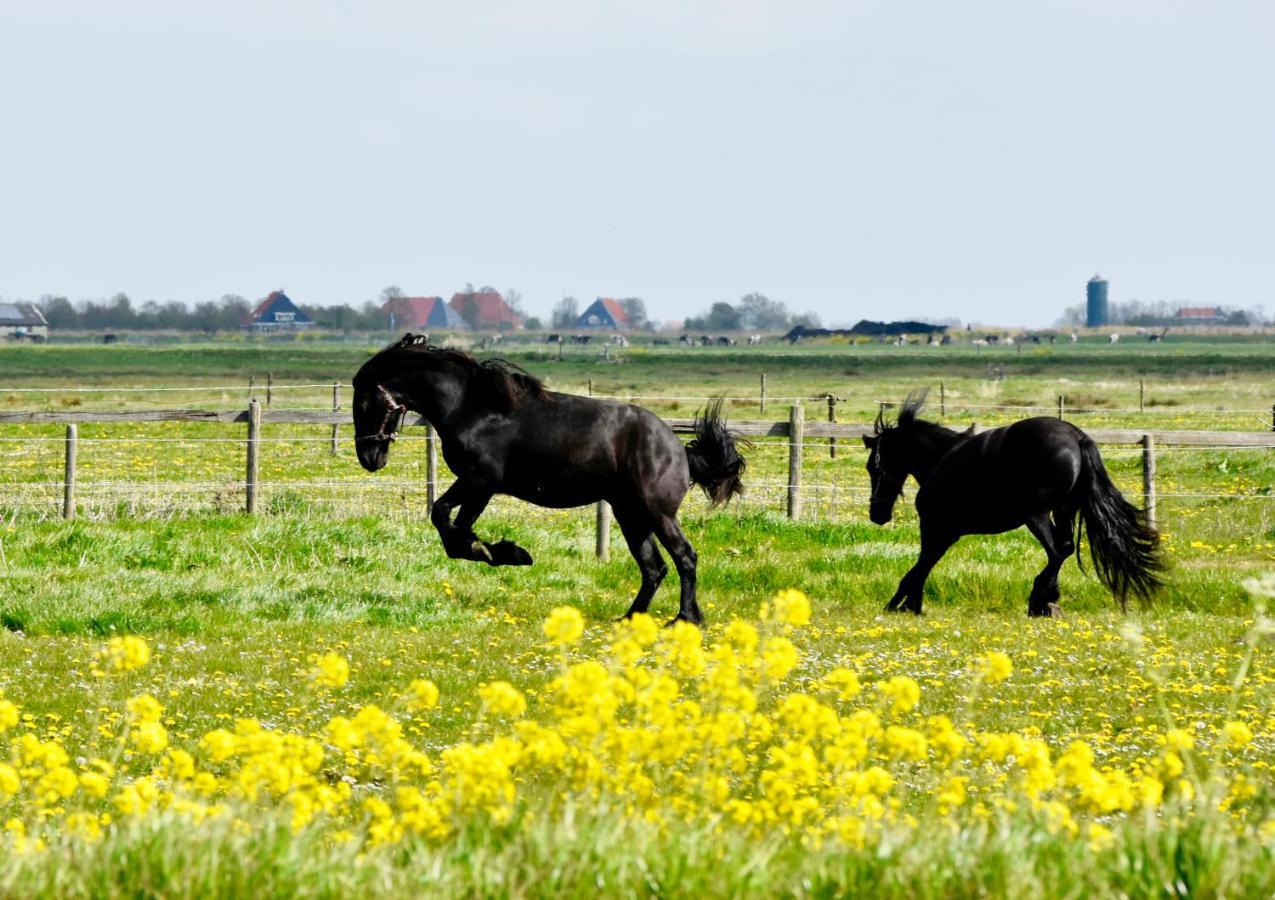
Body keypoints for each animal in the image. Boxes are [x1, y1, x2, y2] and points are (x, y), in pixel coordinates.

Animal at [351, 333, 744, 619]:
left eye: (364, 401)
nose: (369, 458)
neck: (471, 407)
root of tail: (678, 449)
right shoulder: (473, 483)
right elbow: (444, 519)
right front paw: (503, 550)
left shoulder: (481, 482)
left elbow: (455, 530)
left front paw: (505, 552)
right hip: (630, 514)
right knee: (654, 568)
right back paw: (632, 619)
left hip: (657, 513)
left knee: (684, 557)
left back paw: (685, 618)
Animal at [861, 390, 1162, 614]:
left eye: (874, 467)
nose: (877, 514)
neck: (941, 460)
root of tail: (1078, 439)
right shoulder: (946, 534)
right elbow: (923, 566)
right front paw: (908, 604)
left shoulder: (938, 530)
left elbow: (919, 567)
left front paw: (900, 605)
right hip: (1062, 509)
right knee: (1063, 548)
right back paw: (1047, 599)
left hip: (1036, 514)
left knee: (1057, 549)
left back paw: (1039, 599)